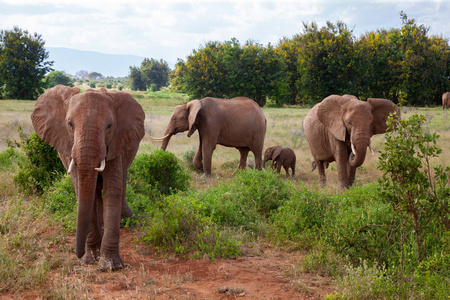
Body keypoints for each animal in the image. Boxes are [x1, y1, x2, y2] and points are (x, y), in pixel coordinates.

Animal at [31, 85, 144, 272]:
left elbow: (111, 191)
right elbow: (80, 189)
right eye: (70, 124)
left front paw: (110, 266)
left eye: (109, 126)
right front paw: (90, 259)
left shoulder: (116, 143)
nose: (78, 253)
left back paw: (125, 217)